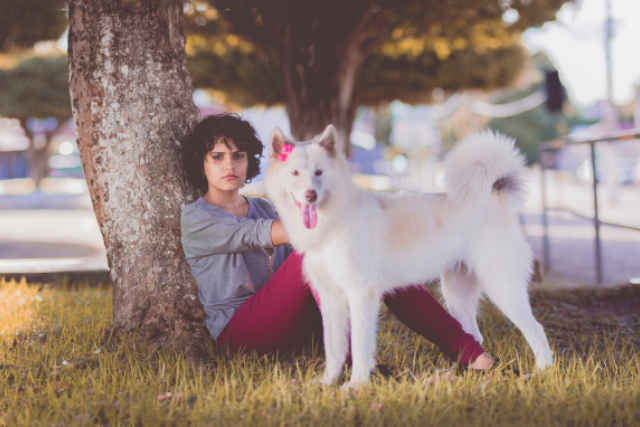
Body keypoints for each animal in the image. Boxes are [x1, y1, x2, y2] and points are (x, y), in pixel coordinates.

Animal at [262, 123, 552, 388]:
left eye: (319, 172)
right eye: (295, 172)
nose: (310, 195)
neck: (333, 222)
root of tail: (494, 198)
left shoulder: (361, 296)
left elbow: (358, 347)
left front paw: (355, 387)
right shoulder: (331, 300)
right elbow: (334, 348)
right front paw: (327, 383)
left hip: (502, 288)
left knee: (536, 330)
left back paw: (543, 372)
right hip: (457, 295)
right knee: (475, 335)